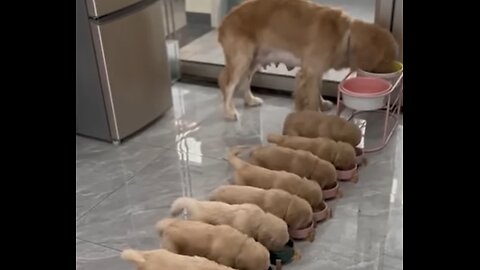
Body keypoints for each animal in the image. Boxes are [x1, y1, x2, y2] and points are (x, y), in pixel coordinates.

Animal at [218, 0, 398, 119]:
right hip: (242, 59)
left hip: (253, 61)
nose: (394, 71)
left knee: (244, 82)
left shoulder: (316, 72)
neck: (345, 36)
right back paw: (229, 111)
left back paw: (250, 100)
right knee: (228, 84)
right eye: (385, 61)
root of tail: (226, 19)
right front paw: (315, 114)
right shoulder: (310, 72)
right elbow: (311, 97)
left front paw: (322, 104)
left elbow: (318, 90)